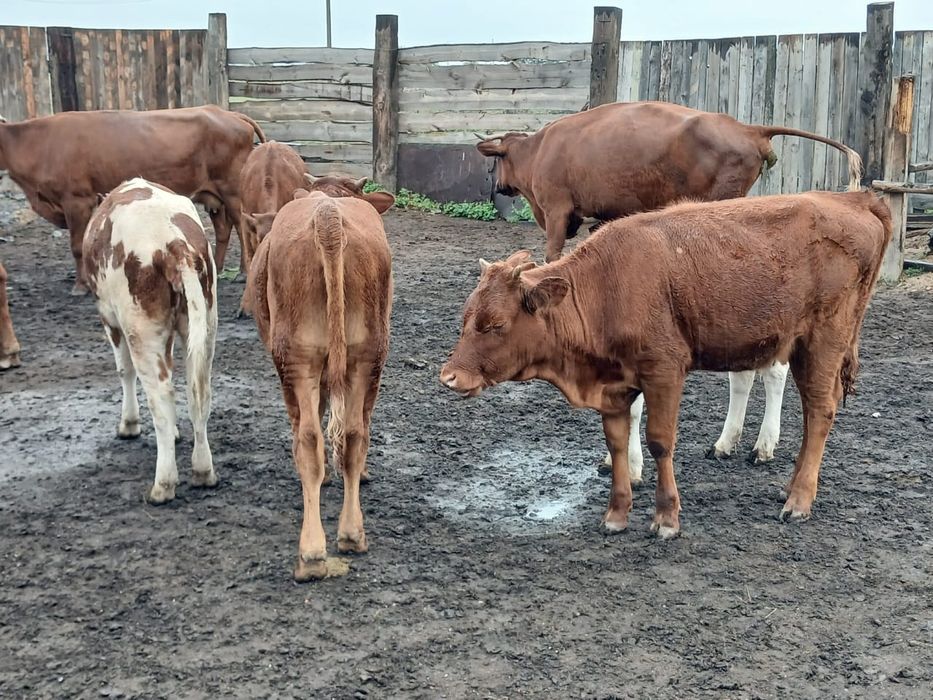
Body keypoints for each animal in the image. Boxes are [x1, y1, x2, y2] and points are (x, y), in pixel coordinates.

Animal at [0, 105, 264, 296]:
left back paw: (243, 272)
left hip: (232, 190)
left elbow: (76, 246)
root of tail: (227, 112)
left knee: (241, 228)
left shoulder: (77, 201)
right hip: (214, 195)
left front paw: (80, 286)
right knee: (223, 229)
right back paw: (216, 270)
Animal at [83, 178, 218, 504]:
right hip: (205, 324)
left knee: (162, 397)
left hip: (140, 332)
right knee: (199, 392)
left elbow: (124, 371)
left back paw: (163, 484)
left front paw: (129, 425)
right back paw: (203, 471)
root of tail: (174, 244)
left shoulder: (109, 317)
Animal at [247, 174, 395, 582]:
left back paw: (312, 553)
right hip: (367, 356)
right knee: (356, 433)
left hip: (296, 358)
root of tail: (328, 213)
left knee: (308, 439)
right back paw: (351, 534)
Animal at [440, 190, 891, 538]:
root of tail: (854, 199)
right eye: (465, 317)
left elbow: (660, 441)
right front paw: (616, 514)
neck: (605, 286)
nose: (449, 377)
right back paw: (786, 483)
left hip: (820, 343)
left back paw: (798, 499)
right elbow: (617, 441)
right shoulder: (615, 385)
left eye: (495, 324)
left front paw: (666, 518)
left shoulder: (664, 372)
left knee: (819, 412)